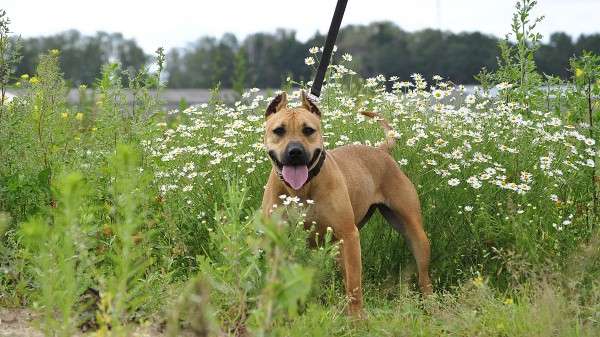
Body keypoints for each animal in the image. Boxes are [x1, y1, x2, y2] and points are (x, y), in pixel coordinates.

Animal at [262, 90, 432, 316]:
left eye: (308, 130)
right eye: (279, 131)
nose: (295, 151)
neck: (300, 190)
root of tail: (381, 150)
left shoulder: (349, 235)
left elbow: (354, 286)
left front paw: (357, 319)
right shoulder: (277, 241)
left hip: (414, 234)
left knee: (424, 277)